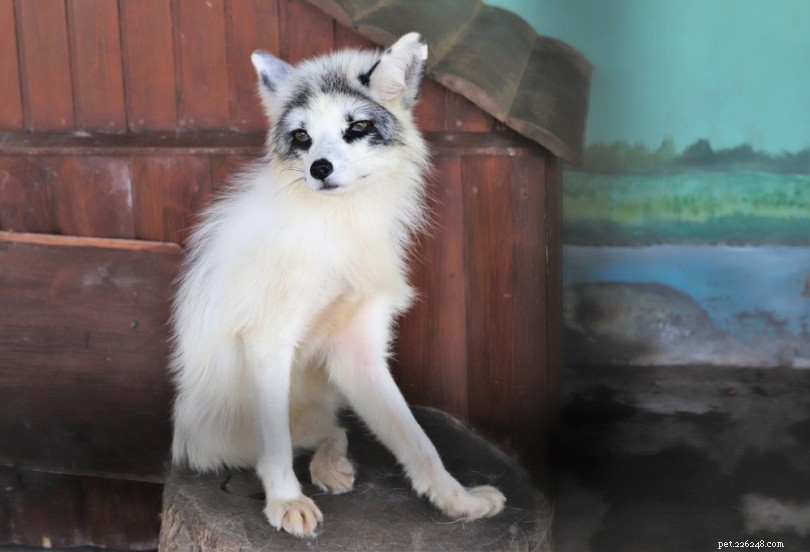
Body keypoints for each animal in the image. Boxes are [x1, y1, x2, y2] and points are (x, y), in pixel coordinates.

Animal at [169, 32, 506, 538]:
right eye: (302, 137)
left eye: (358, 127)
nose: (320, 169)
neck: (337, 231)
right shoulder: (269, 341)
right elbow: (277, 448)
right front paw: (286, 501)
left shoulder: (359, 350)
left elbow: (418, 440)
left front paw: (456, 500)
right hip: (217, 437)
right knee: (284, 443)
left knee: (334, 430)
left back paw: (332, 466)